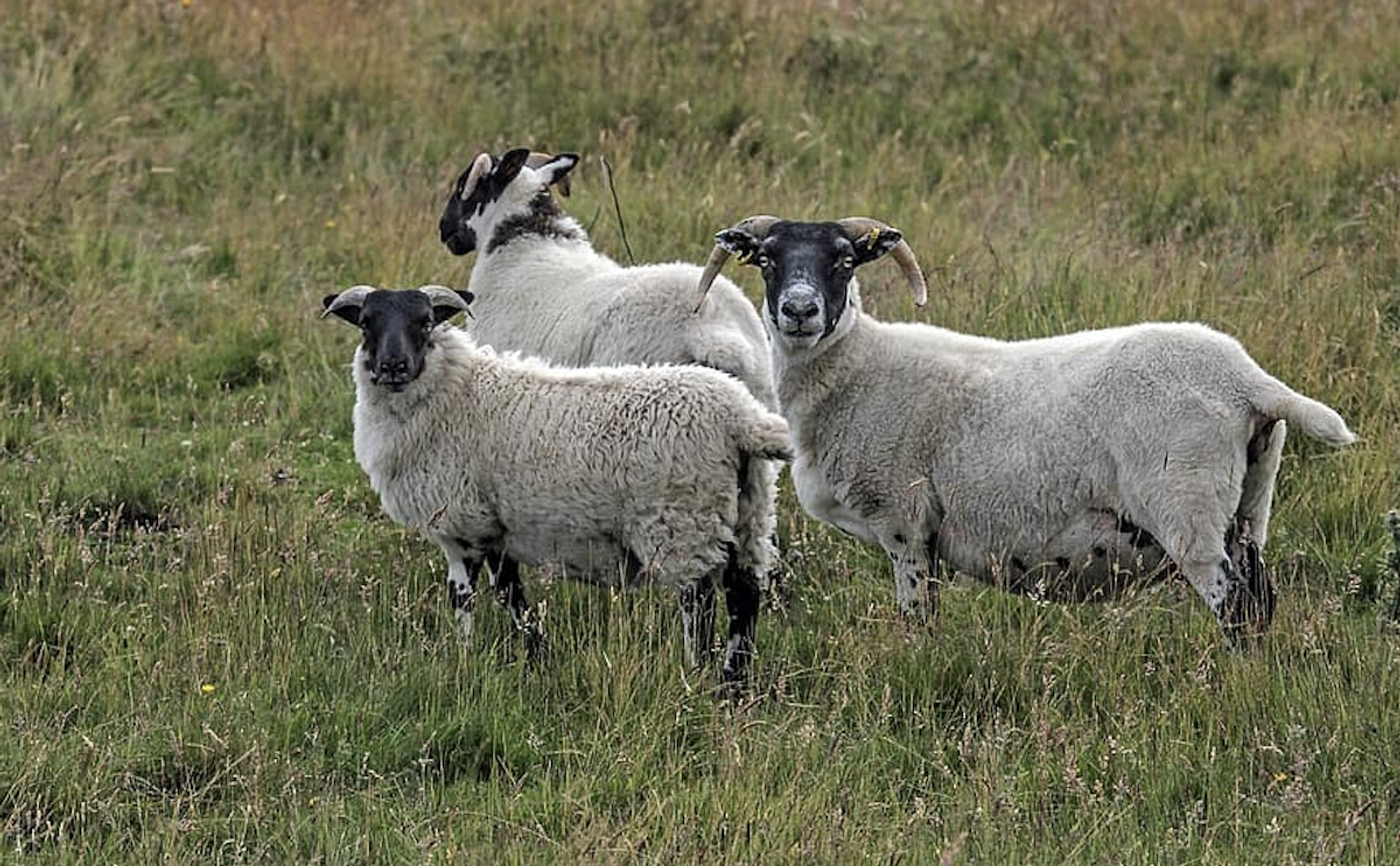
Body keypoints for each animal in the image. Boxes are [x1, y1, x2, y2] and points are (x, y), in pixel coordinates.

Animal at [320, 282, 795, 685]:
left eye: (425, 322)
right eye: (366, 322)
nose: (393, 366)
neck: (455, 391)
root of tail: (742, 418)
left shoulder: (462, 524)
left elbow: (464, 598)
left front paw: (463, 658)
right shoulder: (496, 527)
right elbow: (511, 594)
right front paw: (537, 655)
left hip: (681, 521)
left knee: (699, 604)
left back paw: (696, 674)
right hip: (749, 510)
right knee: (744, 595)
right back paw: (733, 683)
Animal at [700, 216, 1355, 646]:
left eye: (843, 259)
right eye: (766, 260)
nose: (800, 311)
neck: (857, 370)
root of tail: (1248, 382)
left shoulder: (905, 526)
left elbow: (917, 623)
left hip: (1188, 506)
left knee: (1234, 606)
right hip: (1248, 507)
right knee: (1260, 602)